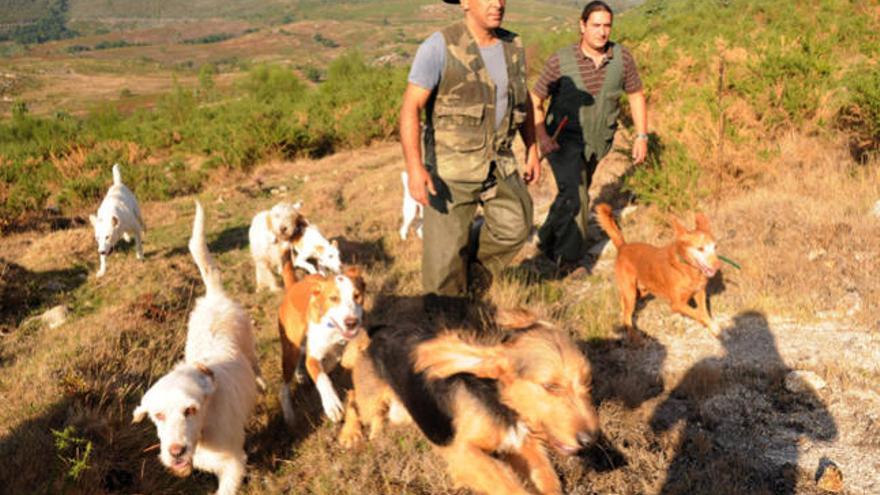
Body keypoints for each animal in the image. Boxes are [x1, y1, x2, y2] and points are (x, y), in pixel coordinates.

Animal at [132, 202, 260, 495]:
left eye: (189, 410)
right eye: (158, 415)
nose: (176, 451)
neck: (204, 427)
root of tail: (214, 296)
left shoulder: (233, 463)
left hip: (249, 346)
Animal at [280, 250, 366, 424]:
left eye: (357, 296)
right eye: (333, 298)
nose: (351, 322)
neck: (333, 330)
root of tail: (293, 286)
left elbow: (333, 361)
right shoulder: (313, 357)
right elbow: (322, 378)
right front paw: (332, 404)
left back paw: (300, 374)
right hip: (290, 350)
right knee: (284, 387)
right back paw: (288, 412)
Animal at [336, 310, 600, 495]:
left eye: (588, 384)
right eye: (551, 386)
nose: (590, 440)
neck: (498, 400)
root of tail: (377, 330)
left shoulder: (525, 446)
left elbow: (548, 480)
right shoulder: (462, 451)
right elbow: (505, 483)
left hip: (401, 412)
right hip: (371, 399)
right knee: (352, 397)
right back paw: (350, 434)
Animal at [596, 203, 724, 340]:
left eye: (715, 247)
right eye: (700, 248)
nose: (718, 265)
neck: (687, 267)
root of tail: (623, 246)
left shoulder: (699, 293)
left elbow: (703, 312)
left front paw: (713, 328)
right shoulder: (676, 304)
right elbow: (698, 313)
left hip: (640, 292)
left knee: (624, 307)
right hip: (631, 293)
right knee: (627, 315)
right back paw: (634, 337)